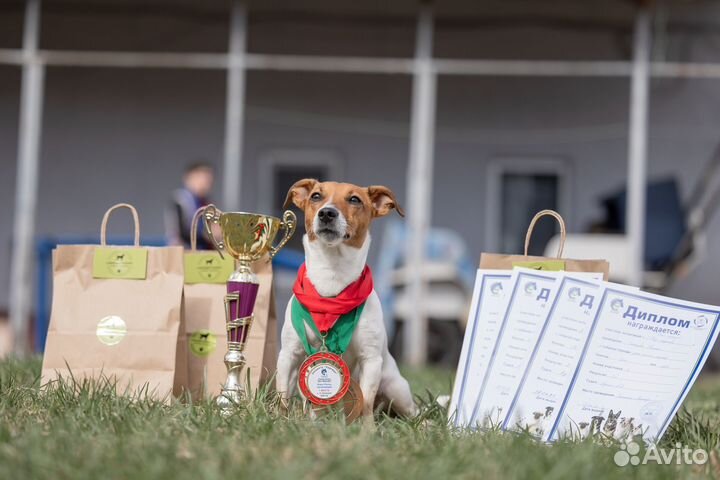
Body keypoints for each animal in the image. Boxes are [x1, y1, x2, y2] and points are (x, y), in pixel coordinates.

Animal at [278, 180, 420, 420]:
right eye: (316, 196)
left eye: (354, 199)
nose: (327, 213)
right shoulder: (288, 354)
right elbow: (282, 397)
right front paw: (280, 419)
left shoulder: (371, 360)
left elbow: (366, 402)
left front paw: (366, 427)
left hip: (395, 388)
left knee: (415, 412)